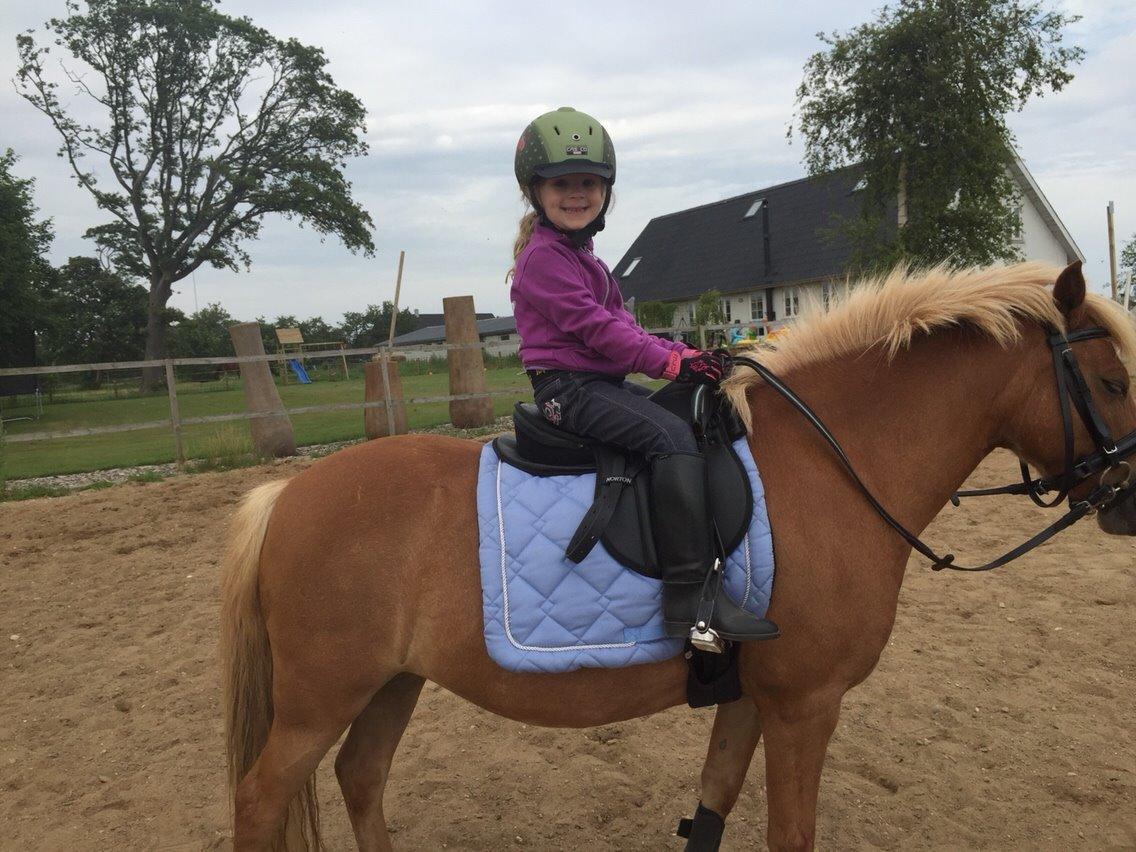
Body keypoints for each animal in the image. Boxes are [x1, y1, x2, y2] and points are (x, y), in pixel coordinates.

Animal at [220, 261, 1136, 851]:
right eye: (1115, 383)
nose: (1129, 497)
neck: (830, 463)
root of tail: (285, 498)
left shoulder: (751, 697)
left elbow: (712, 807)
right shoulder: (806, 705)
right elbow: (789, 834)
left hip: (389, 683)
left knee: (361, 778)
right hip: (319, 699)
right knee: (262, 799)